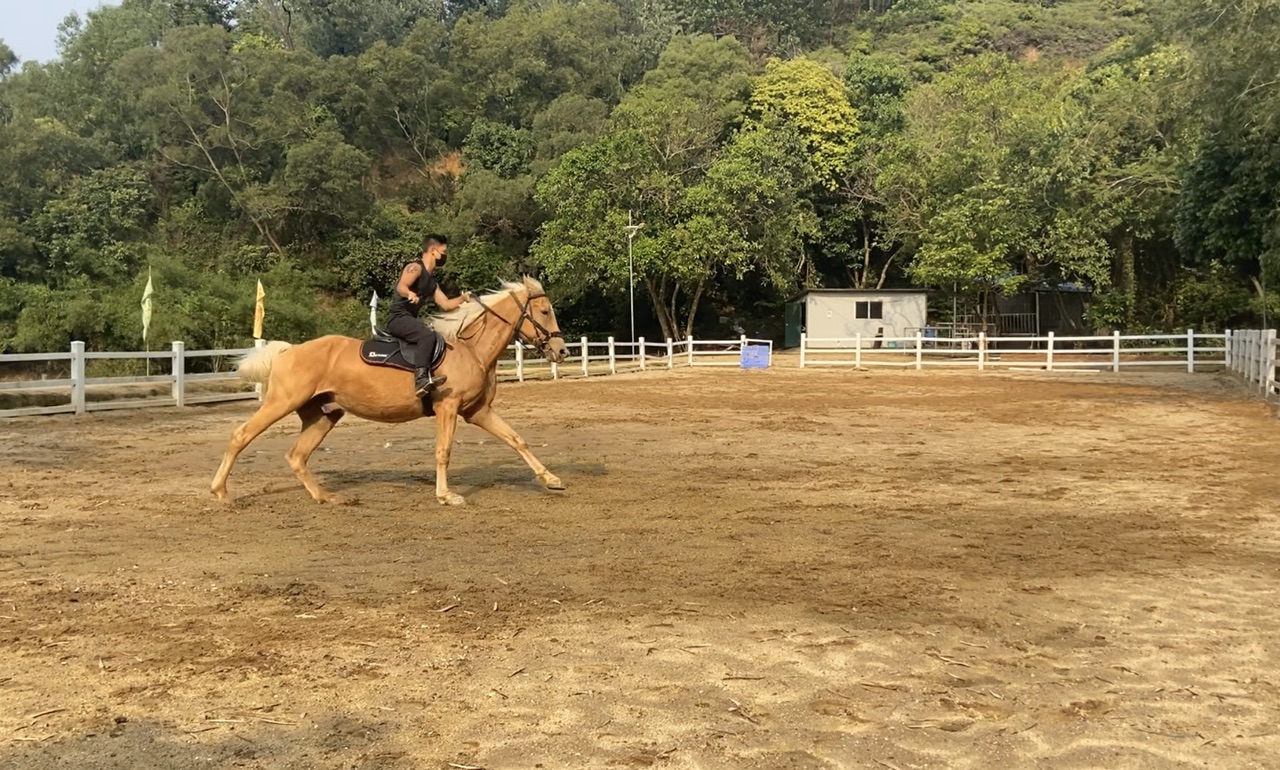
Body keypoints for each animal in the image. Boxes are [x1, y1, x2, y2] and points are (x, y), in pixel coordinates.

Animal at [209, 277, 570, 506]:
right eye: (544, 311)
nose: (562, 351)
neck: (471, 350)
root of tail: (289, 351)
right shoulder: (449, 408)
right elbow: (443, 451)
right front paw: (446, 495)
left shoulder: (477, 412)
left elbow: (517, 439)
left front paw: (550, 479)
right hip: (282, 402)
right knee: (241, 436)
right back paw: (222, 493)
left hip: (323, 415)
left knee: (297, 456)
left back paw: (326, 497)